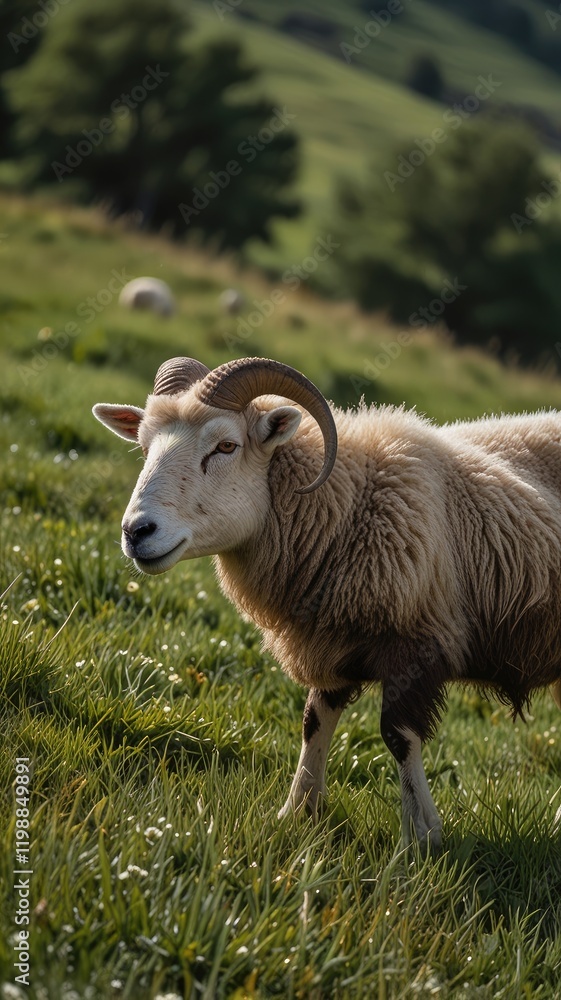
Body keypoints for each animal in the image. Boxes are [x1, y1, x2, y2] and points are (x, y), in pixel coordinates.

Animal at [93, 356, 561, 849]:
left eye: (226, 446)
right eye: (144, 447)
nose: (136, 531)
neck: (347, 501)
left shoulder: (417, 642)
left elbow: (398, 736)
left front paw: (421, 837)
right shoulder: (328, 639)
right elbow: (313, 723)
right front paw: (297, 813)